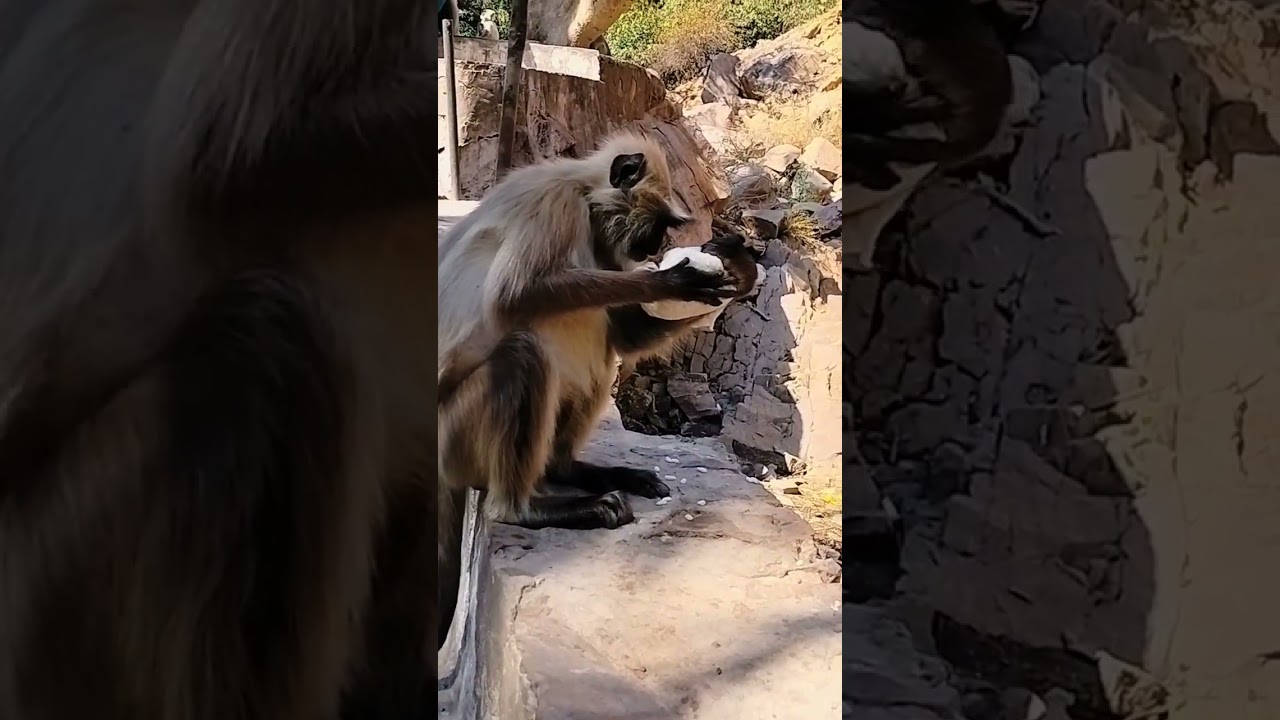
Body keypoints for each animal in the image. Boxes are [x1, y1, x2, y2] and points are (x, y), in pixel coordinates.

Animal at [437, 132, 757, 536]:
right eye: (660, 224)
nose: (656, 248)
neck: (585, 196)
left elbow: (627, 336)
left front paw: (740, 270)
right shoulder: (555, 202)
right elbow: (510, 298)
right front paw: (669, 281)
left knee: (597, 361)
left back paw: (568, 470)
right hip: (453, 438)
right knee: (523, 354)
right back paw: (525, 510)